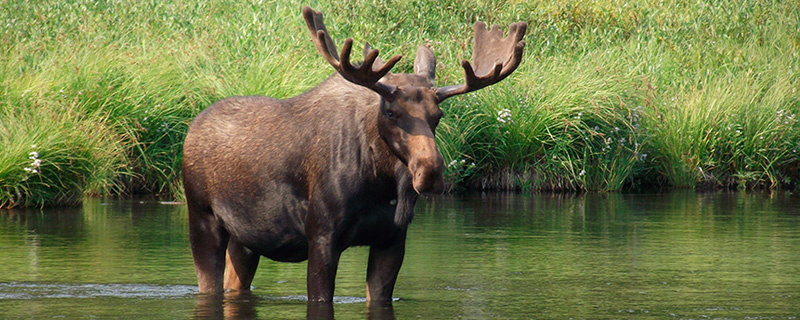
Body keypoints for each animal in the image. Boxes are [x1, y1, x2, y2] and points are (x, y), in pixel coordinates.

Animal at [184, 5, 528, 302]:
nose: (429, 172)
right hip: (201, 216)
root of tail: (192, 128)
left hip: (245, 239)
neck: (380, 183)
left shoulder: (392, 238)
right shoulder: (322, 236)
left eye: (438, 115)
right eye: (390, 112)